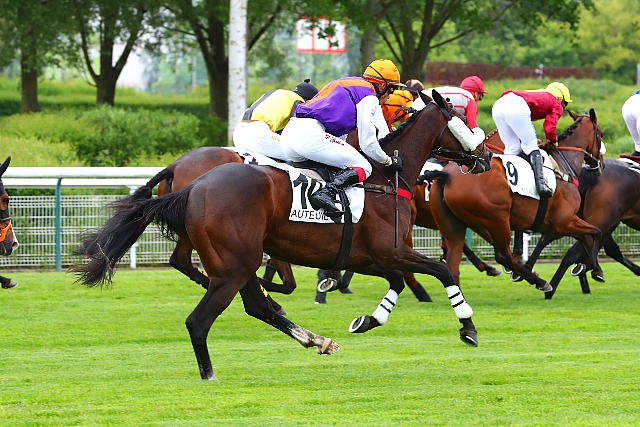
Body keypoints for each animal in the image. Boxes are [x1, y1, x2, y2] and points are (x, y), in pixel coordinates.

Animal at [74, 90, 492, 380]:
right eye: (463, 119)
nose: (487, 156)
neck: (385, 178)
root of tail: (191, 184)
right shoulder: (389, 251)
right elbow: (443, 270)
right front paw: (468, 327)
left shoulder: (369, 257)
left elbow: (398, 282)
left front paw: (366, 320)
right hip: (235, 264)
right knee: (200, 319)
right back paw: (210, 374)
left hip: (235, 262)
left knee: (251, 304)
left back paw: (313, 337)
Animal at [429, 109, 603, 294]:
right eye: (601, 134)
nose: (601, 164)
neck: (563, 167)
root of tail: (446, 175)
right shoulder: (564, 221)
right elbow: (596, 232)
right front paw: (593, 267)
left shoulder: (558, 223)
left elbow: (587, 237)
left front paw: (588, 266)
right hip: (498, 219)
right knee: (503, 256)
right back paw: (539, 281)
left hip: (457, 225)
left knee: (454, 264)